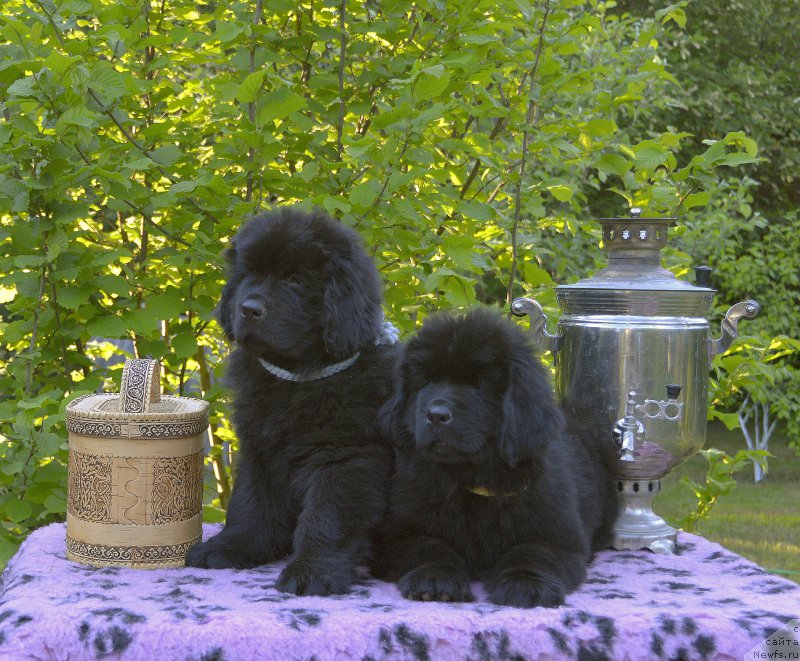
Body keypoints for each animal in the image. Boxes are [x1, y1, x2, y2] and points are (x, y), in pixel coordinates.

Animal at [188, 204, 400, 596]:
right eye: (250, 274)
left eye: (295, 281)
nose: (248, 309)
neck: (297, 377)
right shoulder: (259, 446)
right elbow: (251, 502)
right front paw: (233, 547)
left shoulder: (346, 455)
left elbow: (326, 516)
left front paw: (312, 571)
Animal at [376, 310, 620, 608]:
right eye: (427, 382)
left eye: (478, 385)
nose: (436, 415)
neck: (471, 479)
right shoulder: (397, 533)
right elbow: (427, 547)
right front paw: (434, 579)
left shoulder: (558, 536)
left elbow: (533, 551)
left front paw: (526, 584)